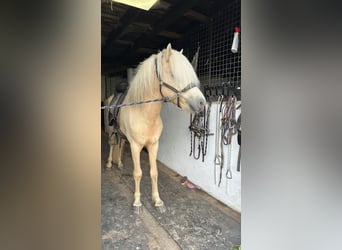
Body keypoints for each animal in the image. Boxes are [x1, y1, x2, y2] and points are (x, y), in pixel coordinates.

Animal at [104, 44, 206, 212]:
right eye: (173, 74)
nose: (202, 103)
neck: (144, 114)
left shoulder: (153, 145)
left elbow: (154, 173)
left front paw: (157, 201)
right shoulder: (135, 146)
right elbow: (138, 173)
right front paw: (137, 202)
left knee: (121, 143)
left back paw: (119, 164)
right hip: (112, 131)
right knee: (112, 145)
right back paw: (108, 164)